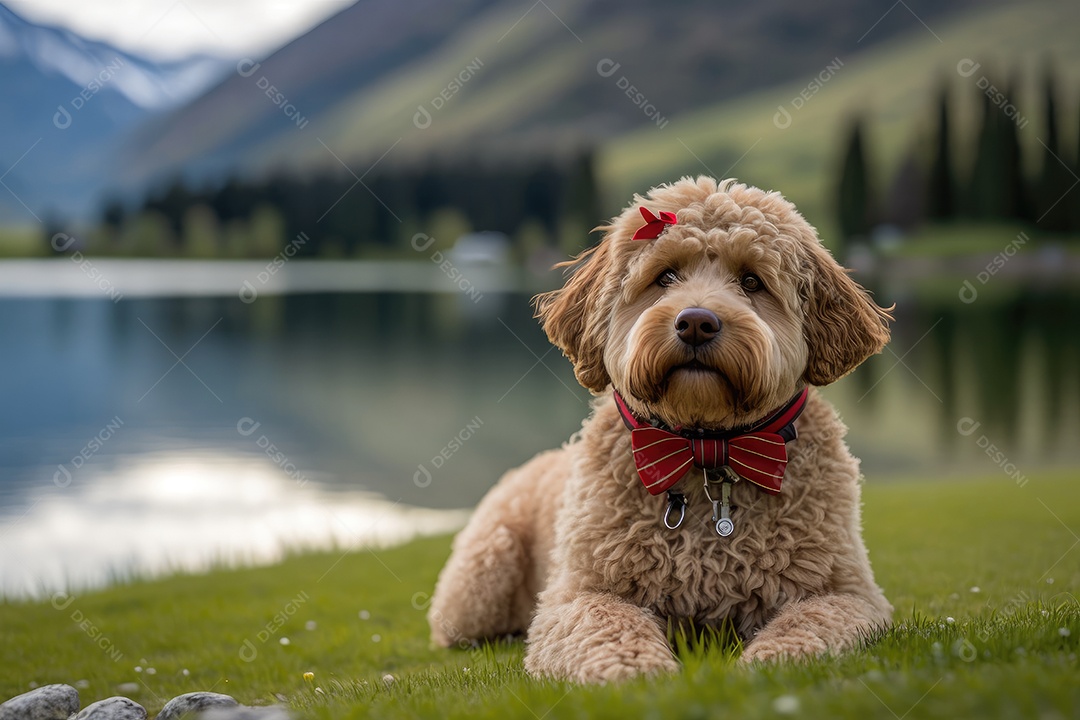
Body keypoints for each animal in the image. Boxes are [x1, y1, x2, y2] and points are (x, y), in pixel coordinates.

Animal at [425, 177, 889, 686]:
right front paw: (641, 675)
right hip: (482, 577)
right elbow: (610, 628)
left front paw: (767, 667)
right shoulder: (578, 597)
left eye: (752, 281)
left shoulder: (846, 594)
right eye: (664, 277)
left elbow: (806, 627)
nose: (696, 322)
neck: (705, 450)